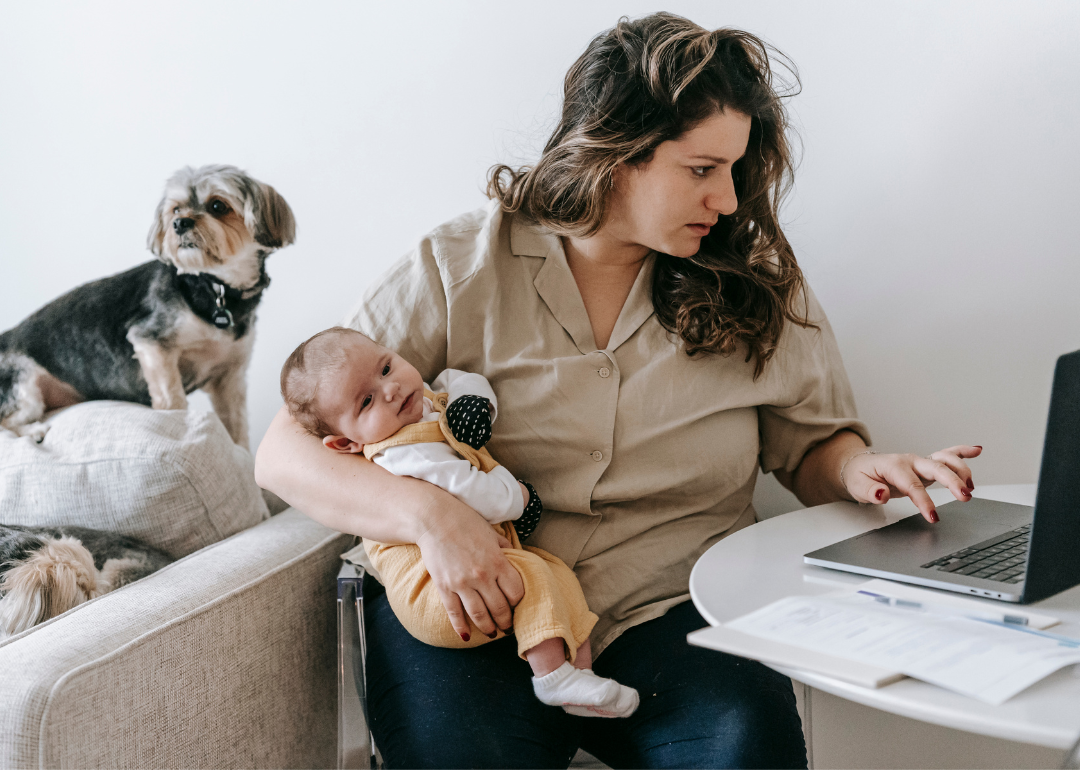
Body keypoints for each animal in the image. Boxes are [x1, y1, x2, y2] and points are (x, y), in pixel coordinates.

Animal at [0, 165, 295, 447]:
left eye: (218, 206)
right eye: (176, 209)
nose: (179, 223)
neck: (214, 286)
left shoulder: (229, 376)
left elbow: (236, 429)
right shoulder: (152, 343)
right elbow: (173, 400)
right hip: (21, 386)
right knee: (8, 423)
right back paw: (35, 431)